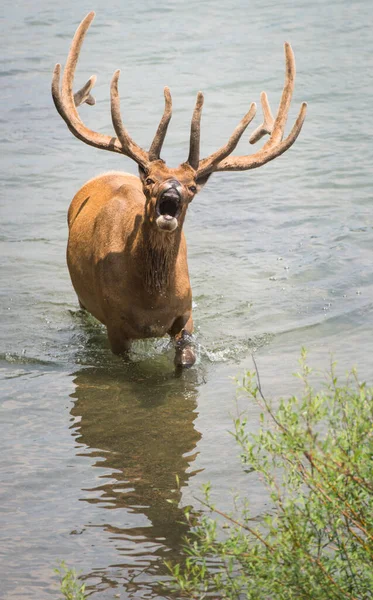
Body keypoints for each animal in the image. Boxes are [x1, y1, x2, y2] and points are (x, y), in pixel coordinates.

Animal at [50, 11, 306, 368]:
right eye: (149, 179)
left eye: (192, 186)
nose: (170, 195)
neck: (151, 304)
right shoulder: (115, 325)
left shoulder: (185, 314)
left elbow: (186, 361)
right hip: (83, 299)